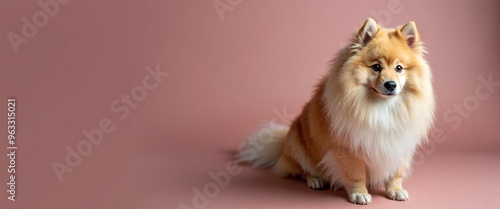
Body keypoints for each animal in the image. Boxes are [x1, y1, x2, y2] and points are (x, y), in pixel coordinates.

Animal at [236, 18, 436, 204]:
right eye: (376, 67)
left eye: (399, 68)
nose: (391, 84)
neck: (380, 108)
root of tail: (282, 147)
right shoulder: (349, 149)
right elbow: (356, 174)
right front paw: (359, 194)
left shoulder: (400, 144)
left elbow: (396, 173)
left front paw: (395, 190)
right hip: (297, 144)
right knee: (302, 170)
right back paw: (315, 180)